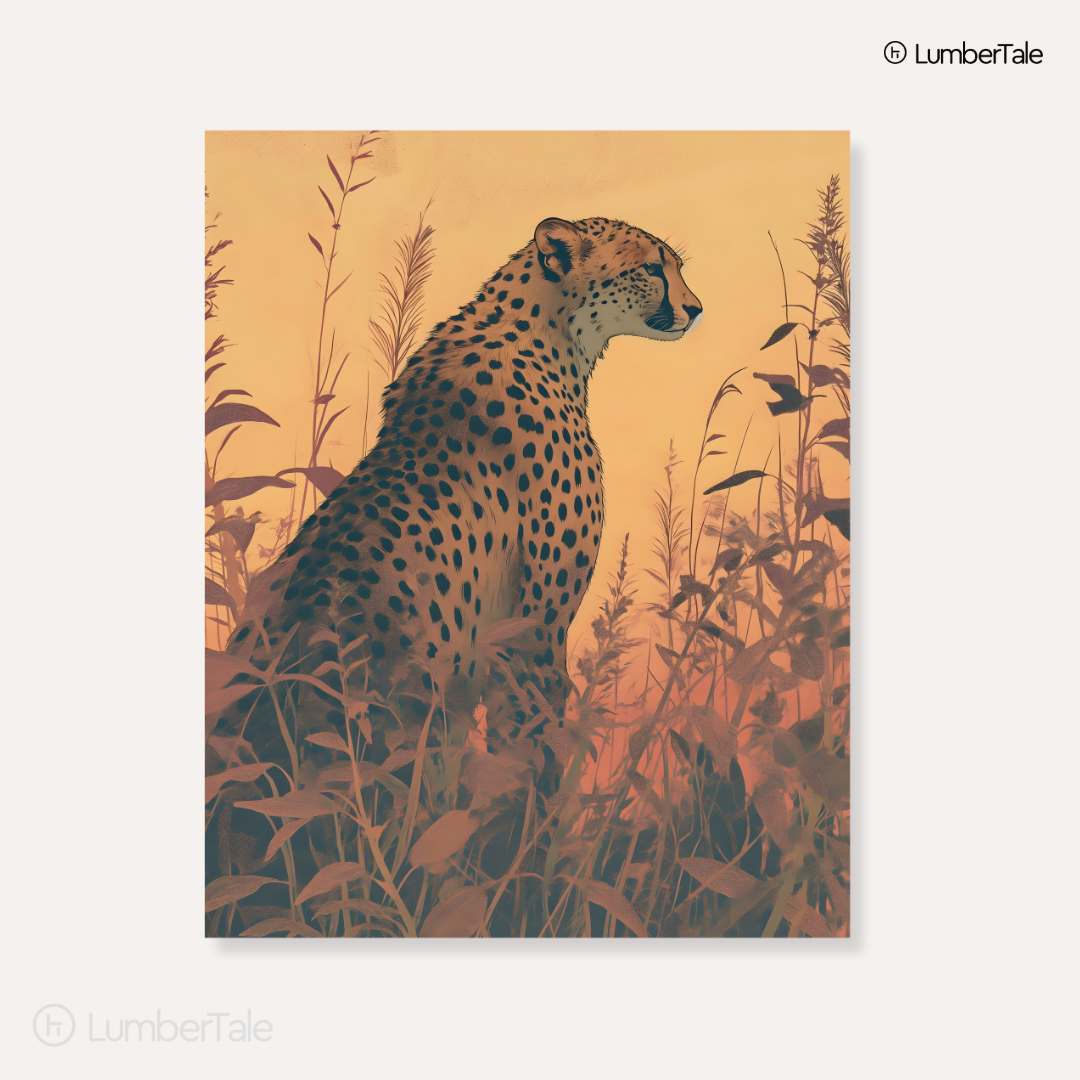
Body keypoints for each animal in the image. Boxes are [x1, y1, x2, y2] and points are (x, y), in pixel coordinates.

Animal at [211, 215, 701, 779]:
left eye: (676, 266)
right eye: (652, 268)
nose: (696, 308)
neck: (549, 331)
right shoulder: (536, 629)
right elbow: (531, 746)